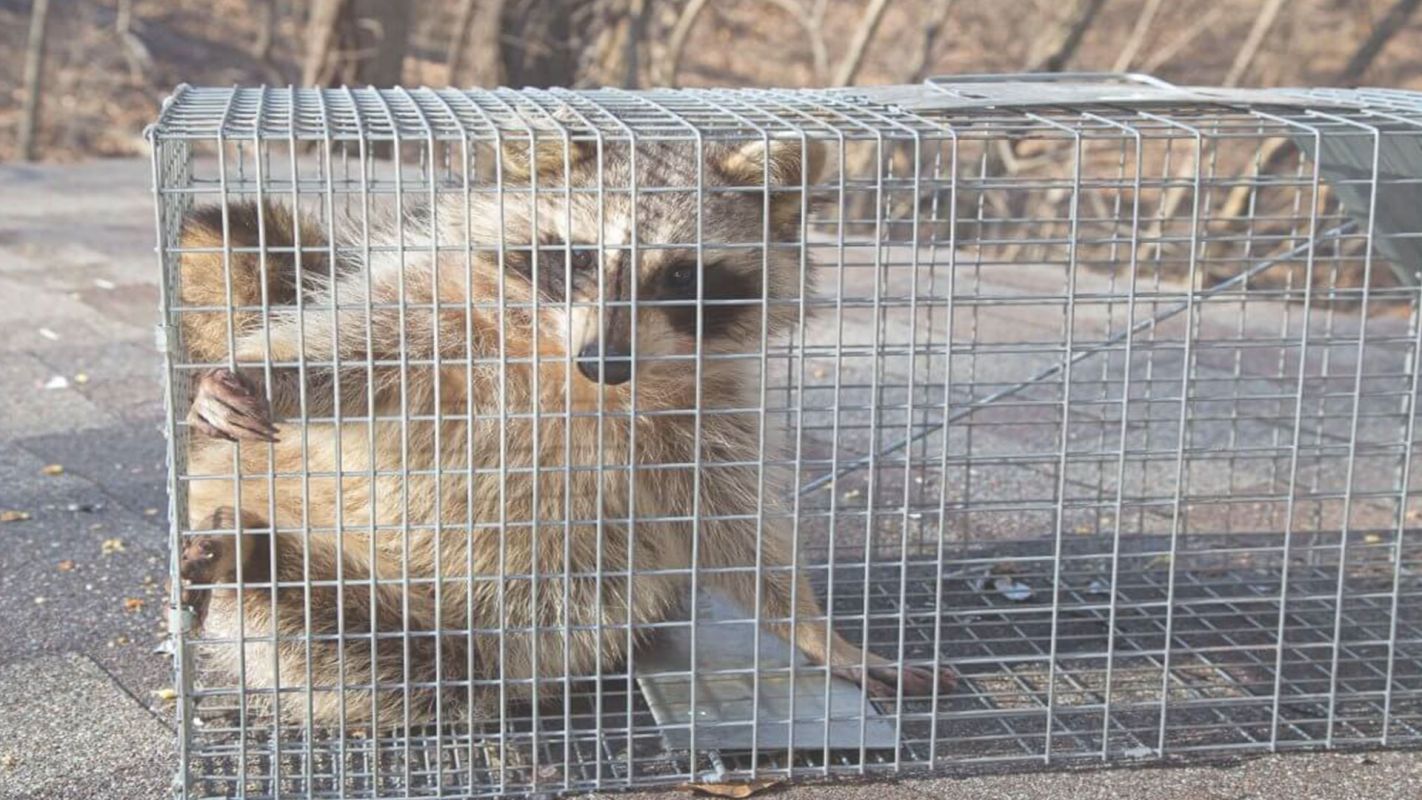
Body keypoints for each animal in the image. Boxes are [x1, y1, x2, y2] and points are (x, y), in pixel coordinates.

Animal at [177, 132, 955, 727]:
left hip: (519, 617)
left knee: (401, 652)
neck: (565, 367)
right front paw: (263, 374)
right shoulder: (448, 310)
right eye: (580, 256)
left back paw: (257, 559)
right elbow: (353, 347)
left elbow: (730, 522)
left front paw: (816, 631)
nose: (603, 362)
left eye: (680, 276)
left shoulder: (707, 407)